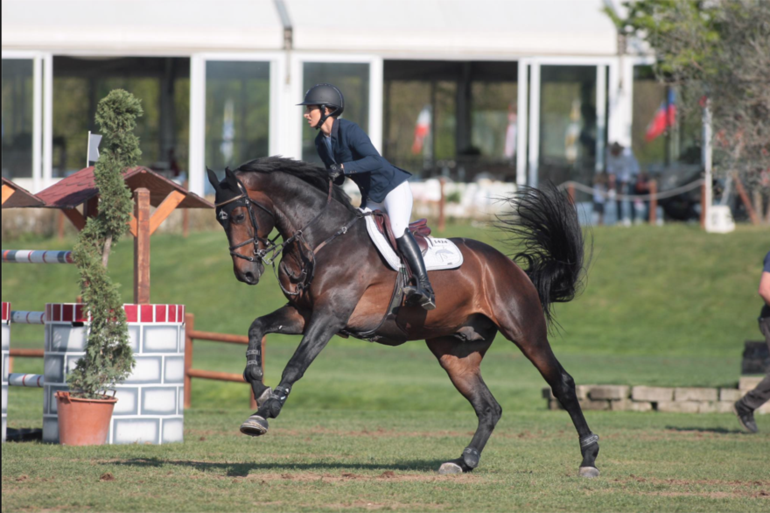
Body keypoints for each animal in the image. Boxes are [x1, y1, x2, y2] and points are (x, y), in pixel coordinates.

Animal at [206, 156, 600, 476]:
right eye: (220, 220)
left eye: (238, 215)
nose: (246, 273)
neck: (323, 238)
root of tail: (512, 269)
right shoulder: (304, 314)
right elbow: (257, 328)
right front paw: (259, 387)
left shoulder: (330, 316)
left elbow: (296, 364)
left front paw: (265, 411)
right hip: (455, 352)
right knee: (489, 407)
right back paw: (464, 461)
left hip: (525, 332)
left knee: (562, 384)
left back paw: (589, 459)